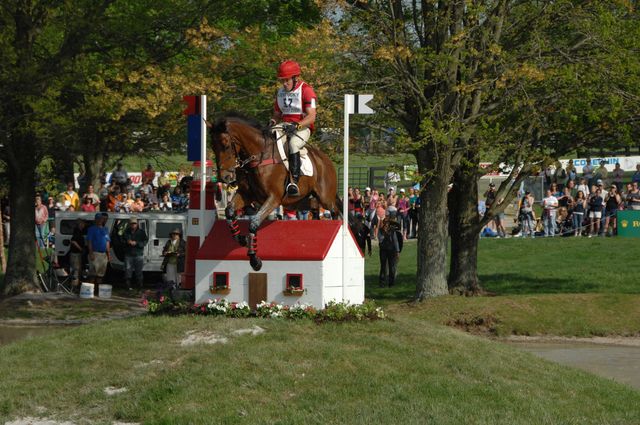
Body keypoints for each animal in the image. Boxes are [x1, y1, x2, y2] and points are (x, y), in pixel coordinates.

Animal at [209, 112, 340, 270]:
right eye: (213, 146)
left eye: (226, 145)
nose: (225, 177)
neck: (258, 156)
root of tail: (325, 160)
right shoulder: (246, 195)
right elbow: (229, 211)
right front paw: (241, 239)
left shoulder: (273, 198)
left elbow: (254, 223)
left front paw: (254, 260)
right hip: (306, 201)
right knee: (316, 212)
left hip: (325, 198)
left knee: (334, 211)